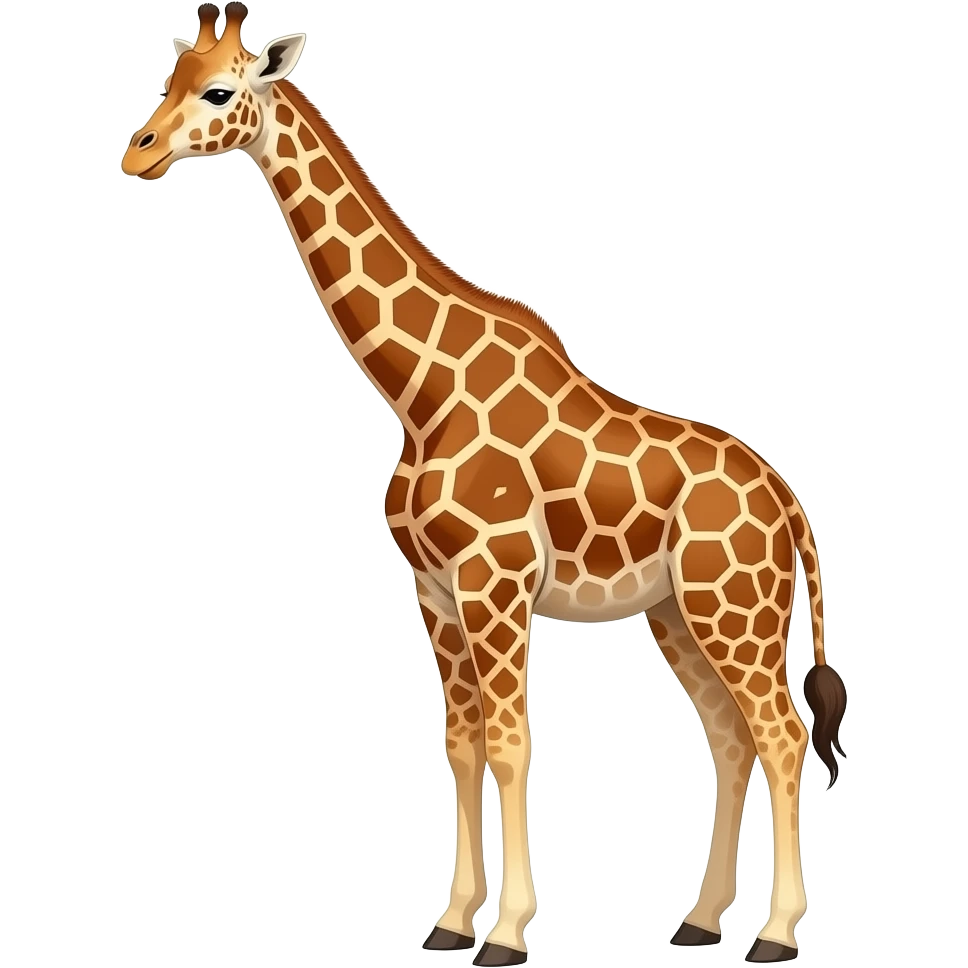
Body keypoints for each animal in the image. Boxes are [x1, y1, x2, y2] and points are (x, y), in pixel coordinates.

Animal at [120, 5, 848, 964]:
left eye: (217, 91)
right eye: (167, 79)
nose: (137, 153)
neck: (418, 393)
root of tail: (789, 501)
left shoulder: (494, 582)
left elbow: (509, 743)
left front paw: (504, 932)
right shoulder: (432, 588)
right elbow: (460, 745)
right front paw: (451, 920)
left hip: (737, 610)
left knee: (783, 732)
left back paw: (776, 933)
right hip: (678, 613)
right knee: (730, 739)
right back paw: (698, 923)